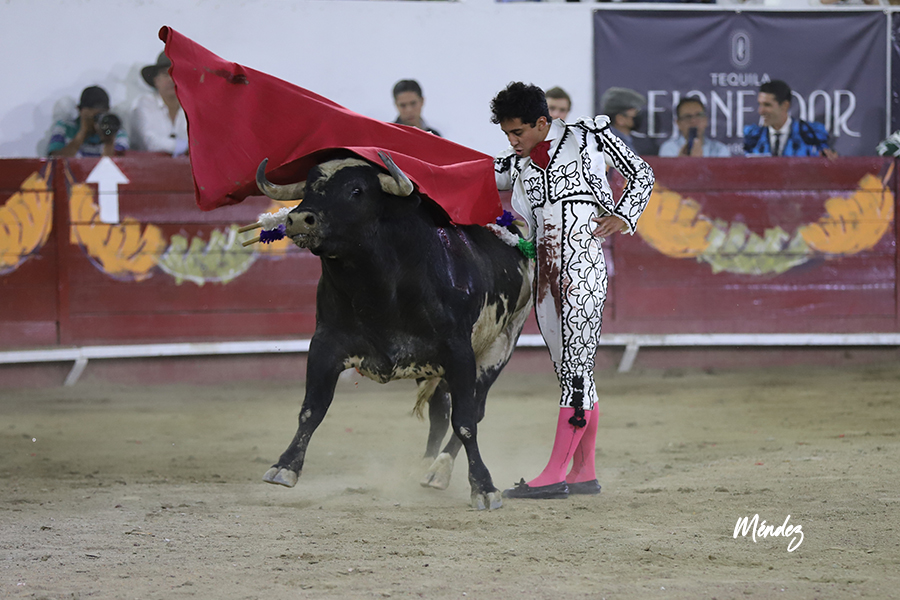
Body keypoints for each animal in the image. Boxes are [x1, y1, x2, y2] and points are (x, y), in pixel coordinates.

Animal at [256, 152, 533, 510]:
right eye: (308, 188)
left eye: (356, 190)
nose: (300, 219)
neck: (379, 286)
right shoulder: (325, 343)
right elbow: (311, 408)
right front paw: (285, 466)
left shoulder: (459, 352)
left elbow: (466, 421)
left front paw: (484, 487)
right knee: (440, 412)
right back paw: (422, 467)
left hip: (500, 346)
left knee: (474, 409)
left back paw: (439, 471)